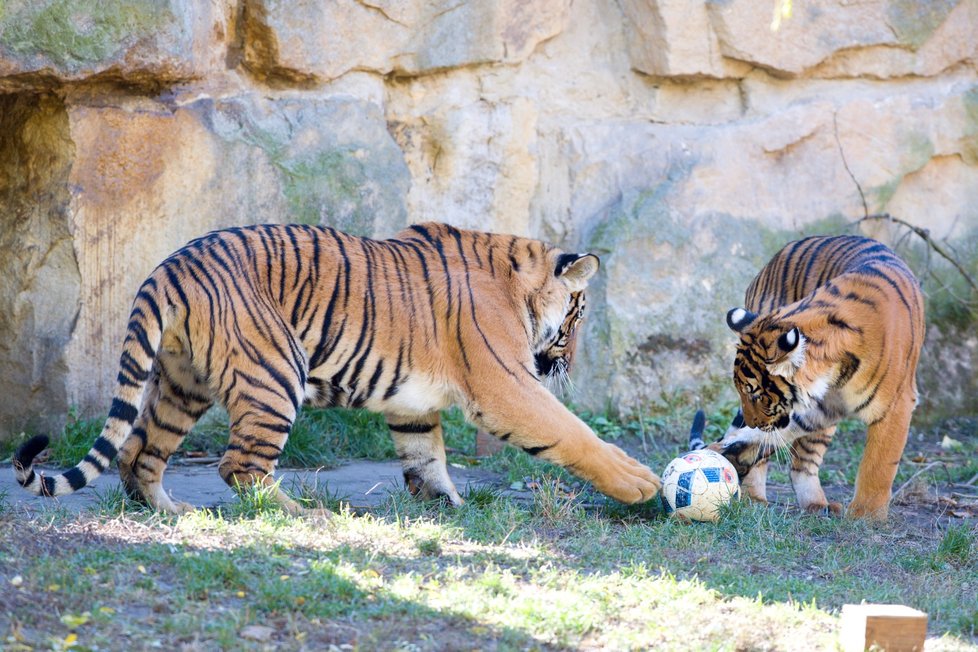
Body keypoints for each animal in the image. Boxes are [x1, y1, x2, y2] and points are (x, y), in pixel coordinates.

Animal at [13, 223, 656, 516]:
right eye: (577, 316)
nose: (568, 362)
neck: (518, 283)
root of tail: (170, 265)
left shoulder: (412, 404)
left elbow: (427, 456)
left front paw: (446, 506)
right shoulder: (506, 385)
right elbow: (572, 432)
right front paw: (640, 483)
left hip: (182, 383)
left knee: (138, 451)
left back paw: (173, 513)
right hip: (274, 374)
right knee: (239, 466)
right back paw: (308, 515)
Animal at [708, 234, 924, 520]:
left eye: (757, 395)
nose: (753, 423)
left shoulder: (893, 405)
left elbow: (879, 464)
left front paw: (866, 517)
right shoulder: (822, 404)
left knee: (803, 463)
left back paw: (815, 504)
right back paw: (755, 498)